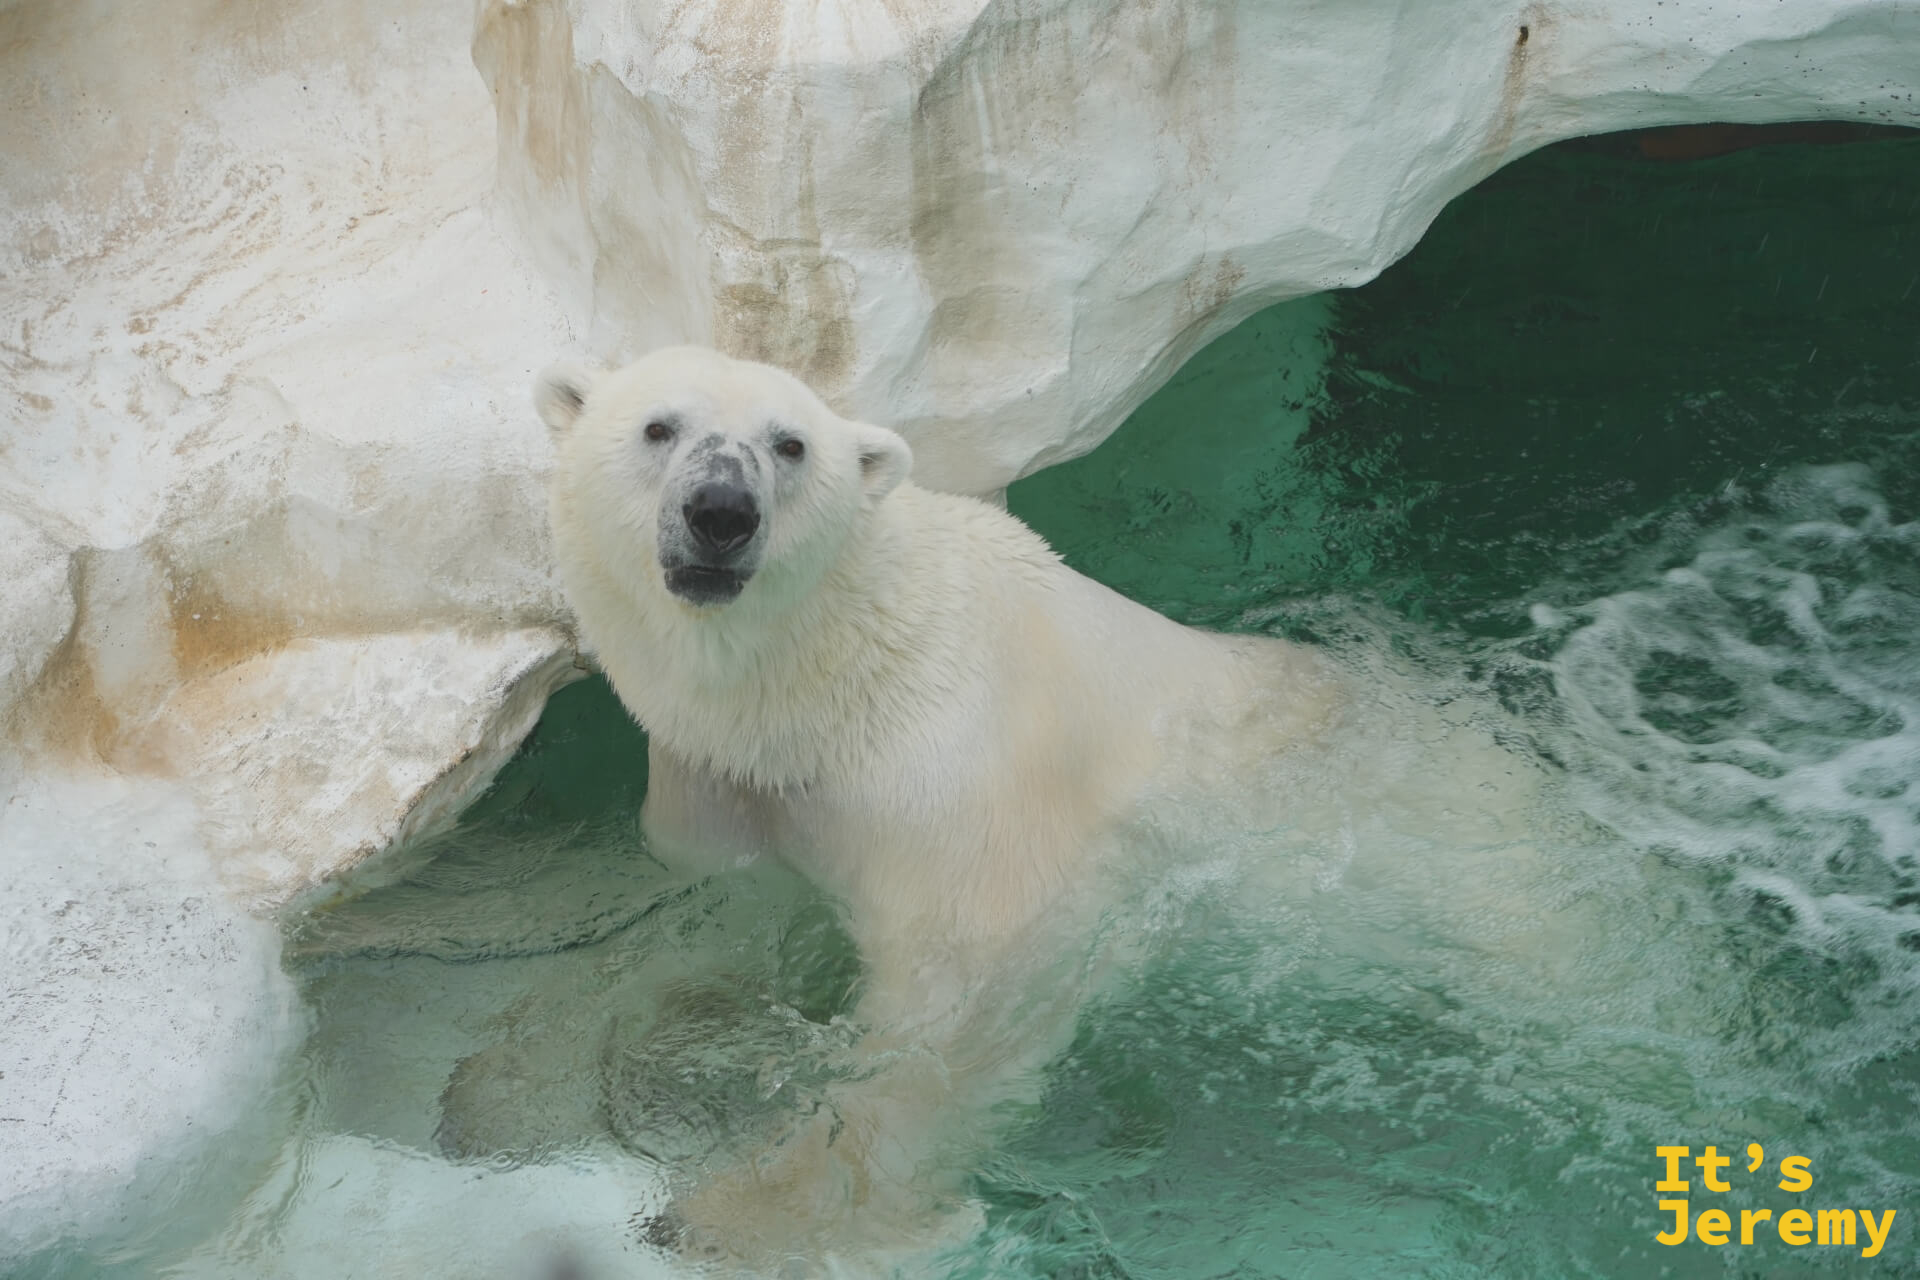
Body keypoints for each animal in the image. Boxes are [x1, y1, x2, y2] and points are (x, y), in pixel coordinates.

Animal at [535, 345, 1348, 1262]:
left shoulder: (959, 796)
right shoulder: (725, 786)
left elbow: (953, 1017)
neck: (827, 689)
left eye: (790, 445)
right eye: (658, 426)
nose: (721, 511)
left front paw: (755, 1213)